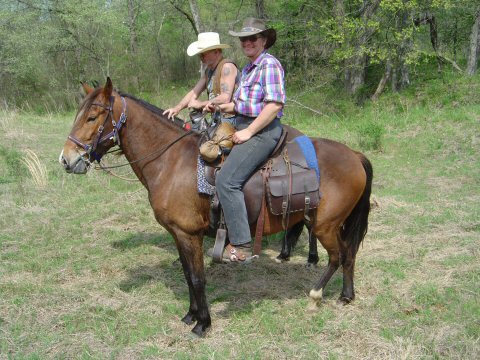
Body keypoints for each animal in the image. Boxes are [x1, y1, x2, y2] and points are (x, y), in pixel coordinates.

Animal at [60, 78, 374, 338]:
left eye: (92, 117)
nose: (66, 159)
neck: (171, 162)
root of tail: (354, 154)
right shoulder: (179, 235)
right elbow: (188, 275)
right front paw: (190, 315)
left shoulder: (189, 234)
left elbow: (198, 278)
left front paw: (203, 324)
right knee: (348, 255)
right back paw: (346, 295)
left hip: (324, 225)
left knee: (338, 256)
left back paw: (316, 295)